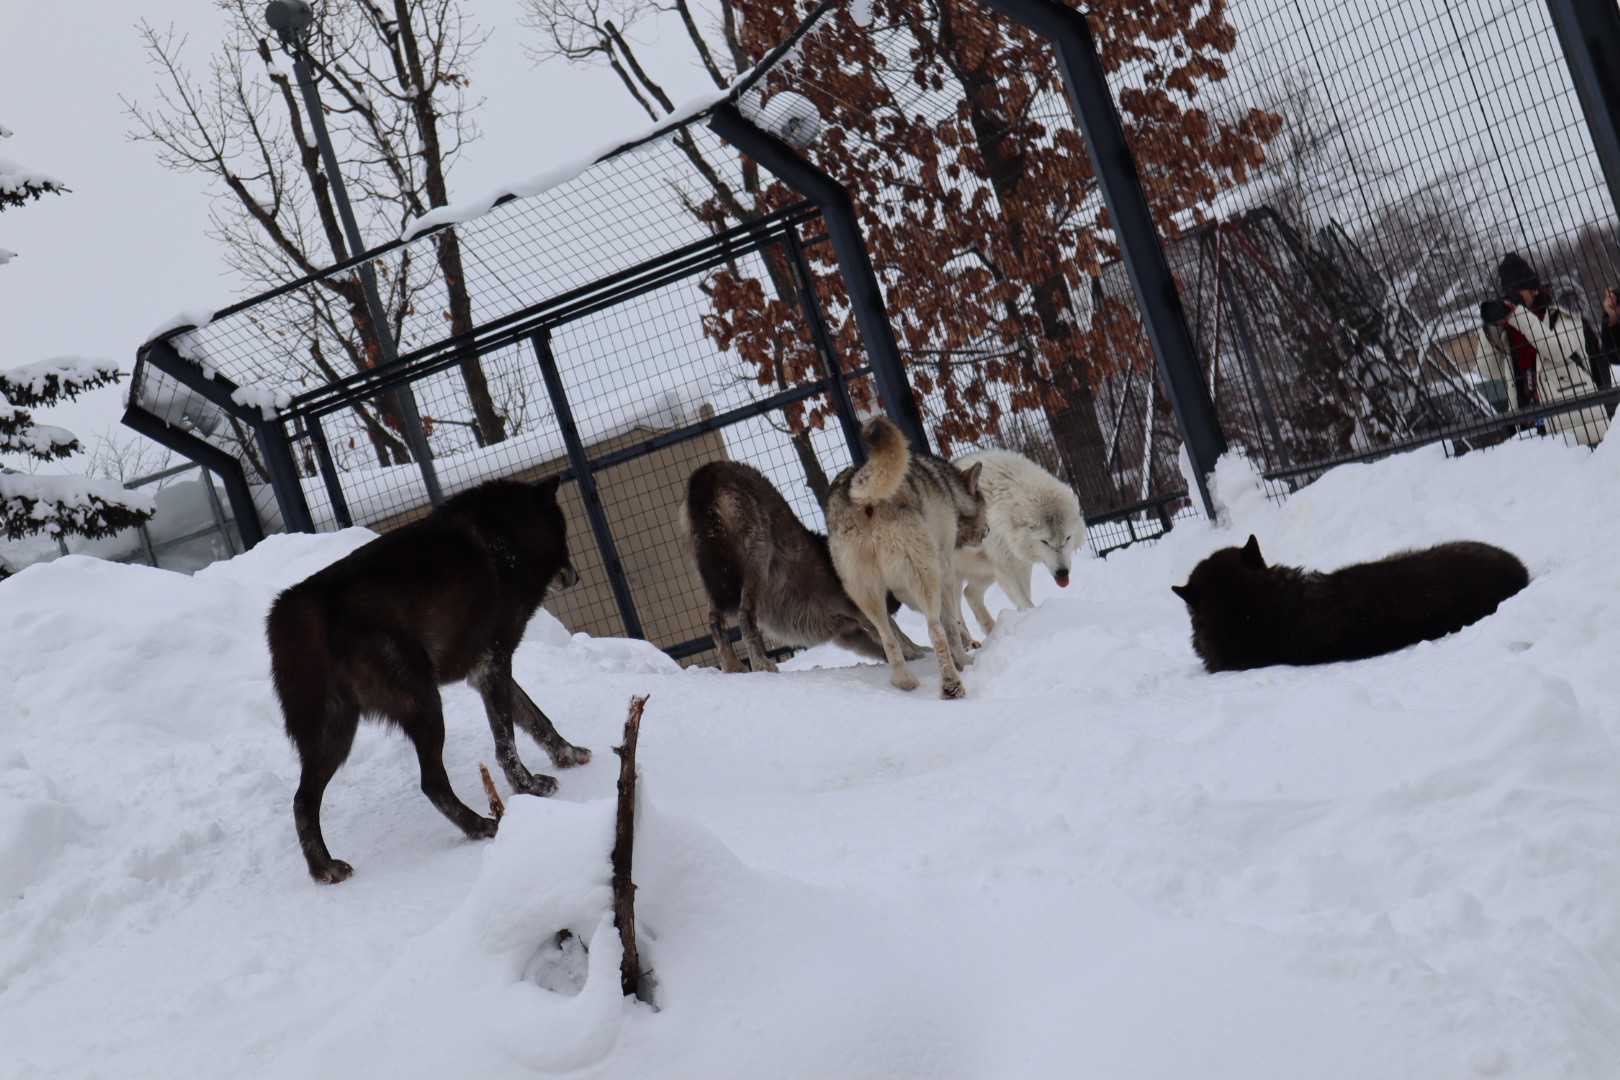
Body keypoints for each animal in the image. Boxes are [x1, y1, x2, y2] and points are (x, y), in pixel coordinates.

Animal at [265, 482, 596, 887]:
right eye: (563, 532)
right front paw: (529, 787)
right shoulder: (493, 661)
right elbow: (507, 743)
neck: (506, 535)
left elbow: (537, 718)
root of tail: (303, 603)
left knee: (302, 801)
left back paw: (325, 869)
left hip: (335, 734)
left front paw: (568, 753)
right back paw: (480, 825)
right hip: (424, 704)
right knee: (431, 782)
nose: (575, 577)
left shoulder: (484, 671)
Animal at [673, 459, 926, 670]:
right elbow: (895, 633)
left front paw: (915, 653)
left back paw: (732, 668)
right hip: (757, 561)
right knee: (745, 618)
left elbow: (885, 644)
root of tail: (706, 473)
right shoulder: (860, 613)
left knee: (715, 623)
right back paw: (762, 666)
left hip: (710, 579)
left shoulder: (849, 633)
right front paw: (918, 652)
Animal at [835, 414, 984, 702]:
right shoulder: (944, 569)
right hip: (922, 576)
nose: (988, 531)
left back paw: (905, 682)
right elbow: (950, 623)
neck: (949, 489)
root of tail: (860, 493)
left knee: (888, 639)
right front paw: (964, 656)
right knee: (934, 630)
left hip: (866, 595)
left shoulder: (901, 590)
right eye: (985, 508)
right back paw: (951, 685)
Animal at [946, 450, 1088, 637]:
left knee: (970, 593)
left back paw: (990, 630)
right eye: (1044, 541)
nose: (1062, 573)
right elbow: (1025, 601)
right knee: (956, 607)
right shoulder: (1007, 565)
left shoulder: (1020, 564)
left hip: (987, 572)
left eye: (1067, 538)